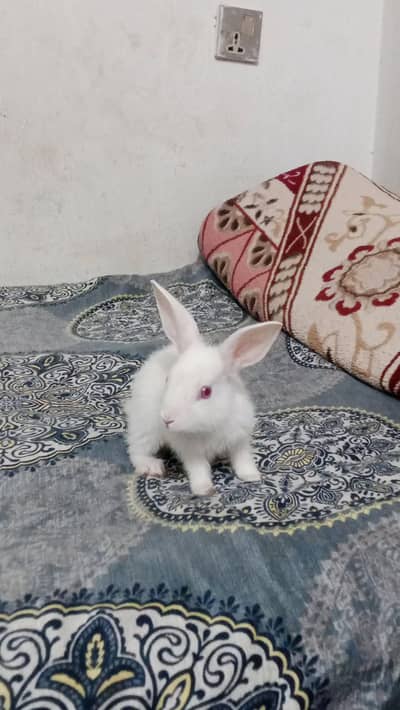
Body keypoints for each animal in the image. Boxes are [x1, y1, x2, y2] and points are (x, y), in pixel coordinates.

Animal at [124, 280, 281, 496]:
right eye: (168, 379)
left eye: (206, 392)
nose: (167, 419)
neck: (208, 426)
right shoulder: (190, 452)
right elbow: (198, 469)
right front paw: (204, 490)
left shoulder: (240, 440)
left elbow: (243, 460)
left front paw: (251, 477)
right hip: (146, 428)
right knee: (136, 450)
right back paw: (153, 467)